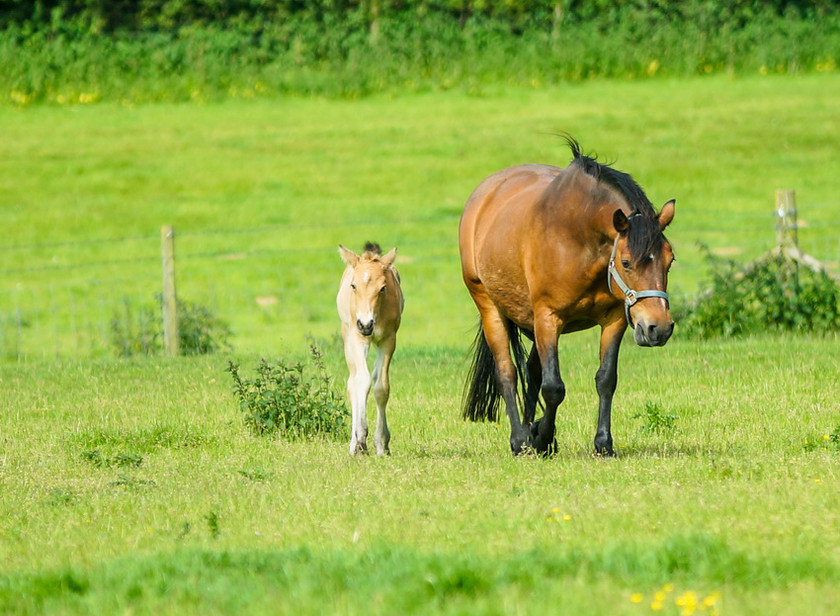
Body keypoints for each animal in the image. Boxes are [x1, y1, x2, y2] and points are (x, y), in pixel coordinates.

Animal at [460, 137, 676, 454]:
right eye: (626, 263)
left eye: (670, 261)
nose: (658, 328)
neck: (577, 237)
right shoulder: (548, 317)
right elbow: (553, 387)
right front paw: (542, 437)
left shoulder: (614, 320)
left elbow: (605, 379)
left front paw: (602, 443)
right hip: (491, 307)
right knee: (508, 372)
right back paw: (520, 439)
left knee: (531, 371)